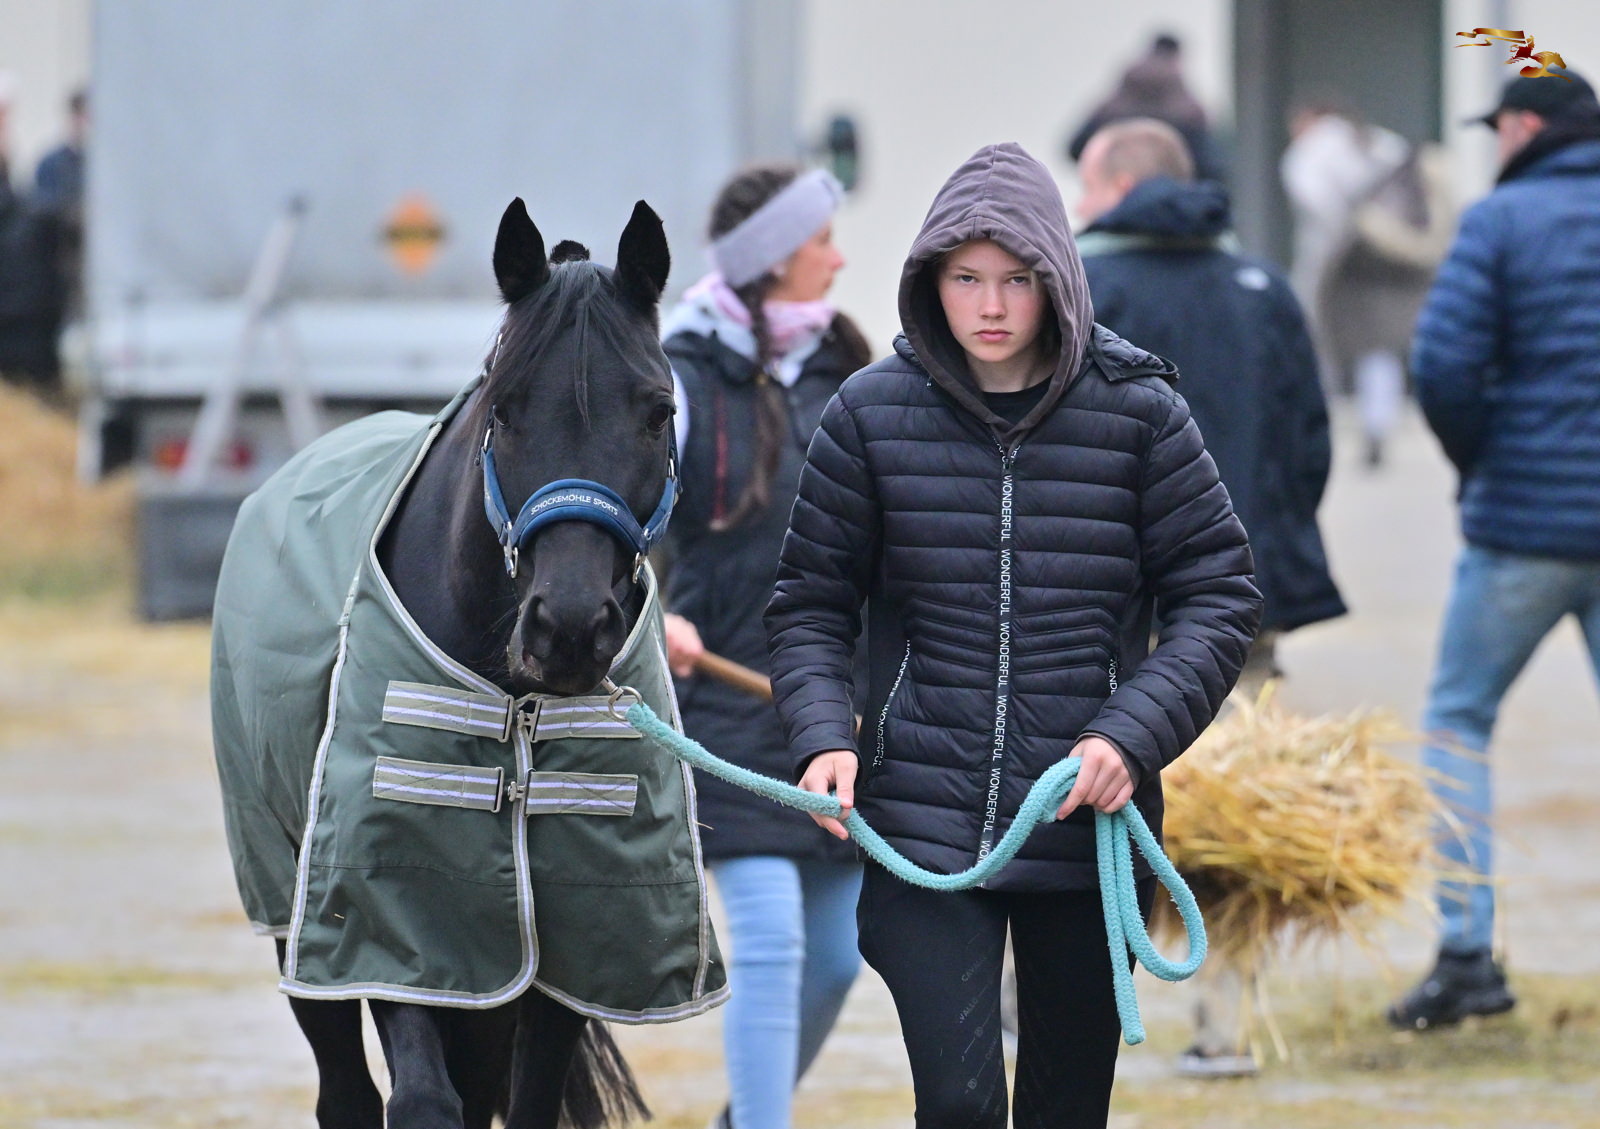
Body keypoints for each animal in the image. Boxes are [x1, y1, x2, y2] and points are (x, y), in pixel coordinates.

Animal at [211, 197, 725, 1129]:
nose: (568, 626)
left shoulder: (568, 947)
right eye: (507, 407)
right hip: (293, 914)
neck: (514, 699)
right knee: (346, 1092)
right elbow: (419, 1096)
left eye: (658, 409)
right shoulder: (396, 917)